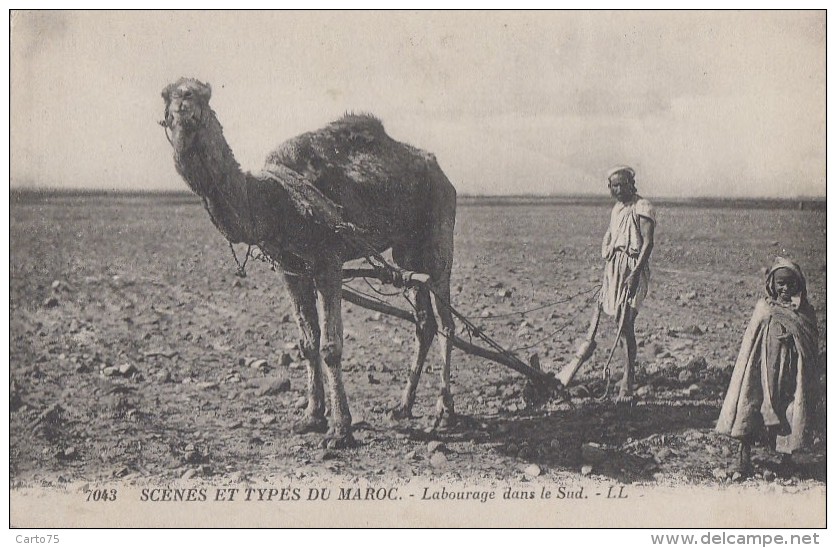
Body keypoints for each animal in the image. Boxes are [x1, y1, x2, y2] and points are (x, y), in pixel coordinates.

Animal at [162, 76, 458, 446]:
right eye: (167, 99)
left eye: (195, 95)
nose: (181, 111)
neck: (271, 200)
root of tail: (444, 175)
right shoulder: (290, 268)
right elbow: (307, 342)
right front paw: (312, 416)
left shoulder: (328, 260)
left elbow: (331, 346)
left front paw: (340, 428)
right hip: (409, 251)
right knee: (424, 322)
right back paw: (402, 407)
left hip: (439, 235)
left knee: (447, 322)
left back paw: (444, 412)